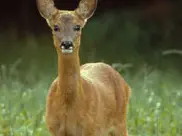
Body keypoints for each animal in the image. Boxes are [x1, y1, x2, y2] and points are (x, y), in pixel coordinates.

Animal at [36, 0, 131, 136]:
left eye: (77, 27)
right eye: (56, 27)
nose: (67, 44)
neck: (69, 104)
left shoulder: (90, 128)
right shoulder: (53, 127)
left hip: (120, 121)